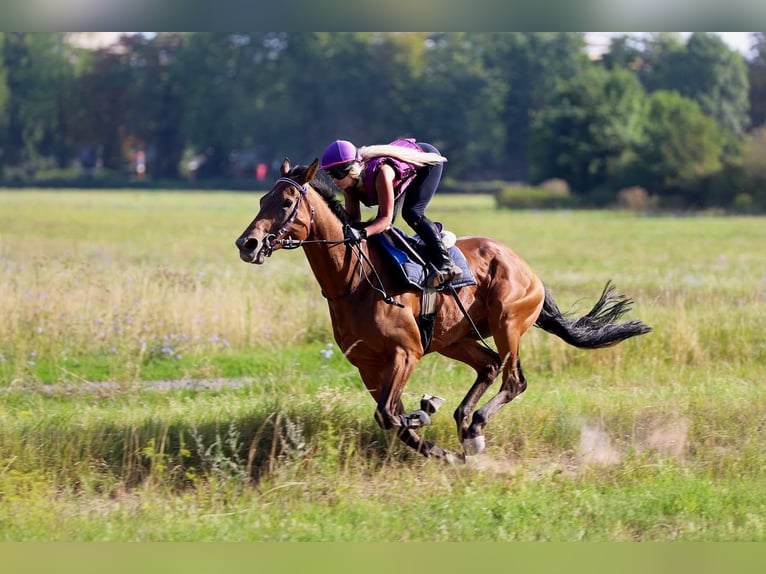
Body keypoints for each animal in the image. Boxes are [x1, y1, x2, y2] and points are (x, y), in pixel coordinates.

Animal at [235, 158, 651, 463]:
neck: (354, 280)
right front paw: (440, 444)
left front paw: (426, 412)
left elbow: (390, 414)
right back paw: (464, 425)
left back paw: (476, 427)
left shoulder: (406, 352)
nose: (247, 243)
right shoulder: (366, 364)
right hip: (455, 338)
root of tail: (528, 269)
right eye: (261, 200)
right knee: (489, 366)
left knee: (513, 379)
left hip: (507, 321)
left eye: (286, 202)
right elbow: (391, 418)